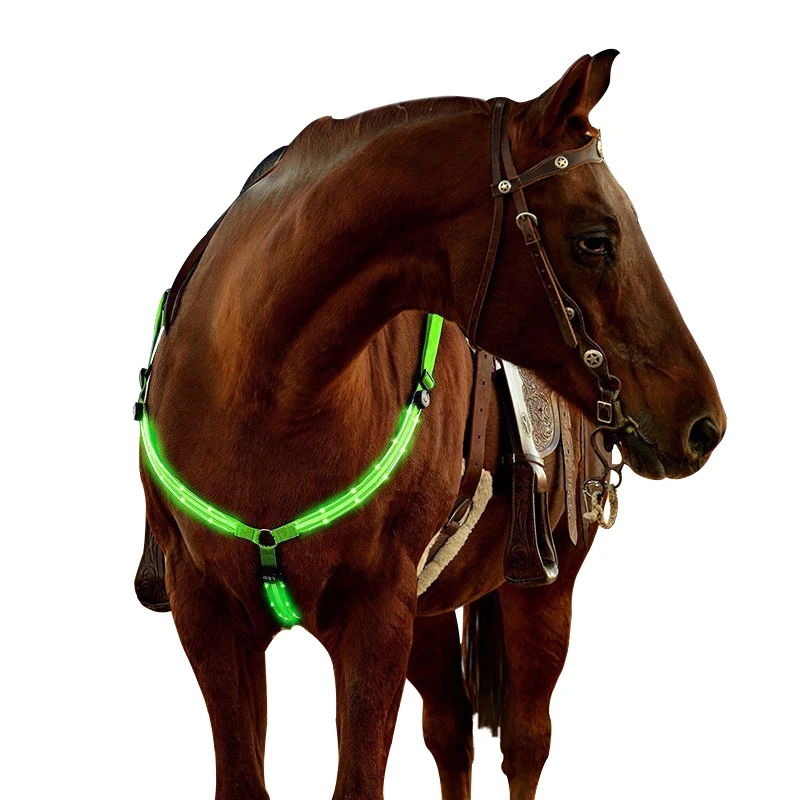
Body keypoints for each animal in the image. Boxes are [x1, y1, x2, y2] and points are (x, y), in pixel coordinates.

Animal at [135, 50, 725, 799]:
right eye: (596, 240)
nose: (703, 424)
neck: (264, 395)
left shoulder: (376, 617)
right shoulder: (208, 614)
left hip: (543, 587)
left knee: (526, 741)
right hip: (431, 607)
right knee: (451, 730)